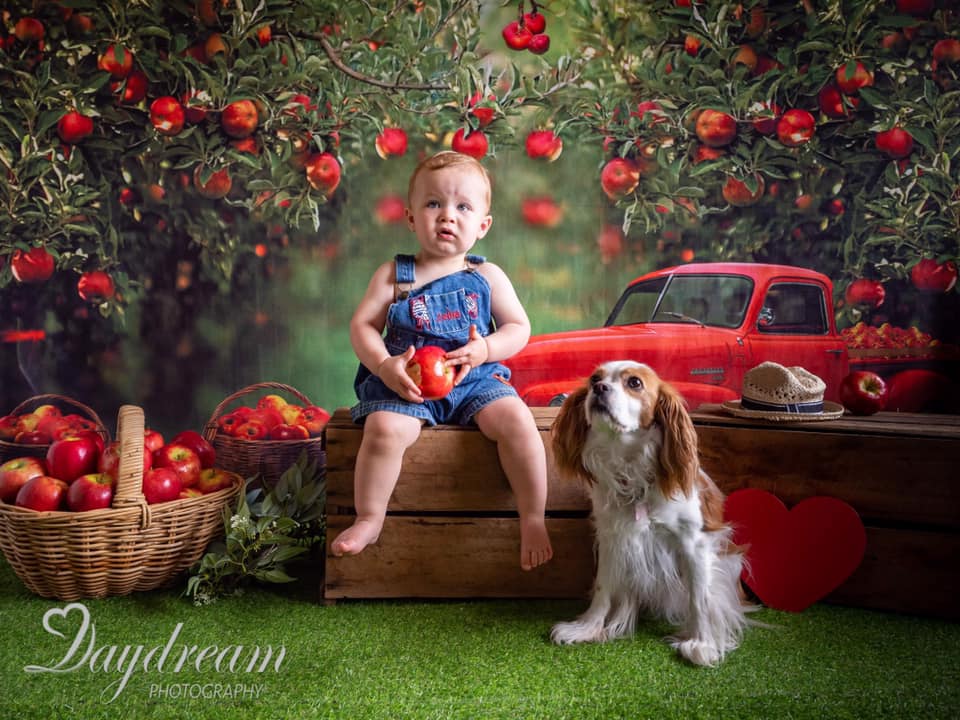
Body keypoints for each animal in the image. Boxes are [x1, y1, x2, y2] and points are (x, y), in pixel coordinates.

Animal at [548, 362, 752, 668]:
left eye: (634, 383)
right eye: (595, 379)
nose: (599, 388)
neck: (632, 468)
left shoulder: (695, 544)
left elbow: (700, 599)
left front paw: (703, 643)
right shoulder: (612, 539)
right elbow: (602, 588)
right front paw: (587, 628)